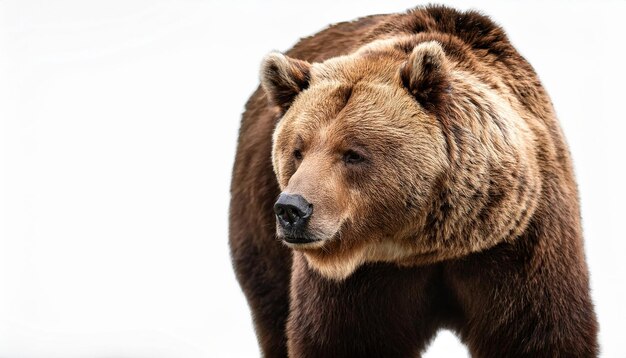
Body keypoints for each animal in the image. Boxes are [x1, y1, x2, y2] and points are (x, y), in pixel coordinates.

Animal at [228, 4, 596, 356]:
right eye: (298, 150)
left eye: (353, 153)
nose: (292, 209)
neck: (422, 246)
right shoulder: (358, 283)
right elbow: (340, 338)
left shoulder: (518, 244)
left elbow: (537, 332)